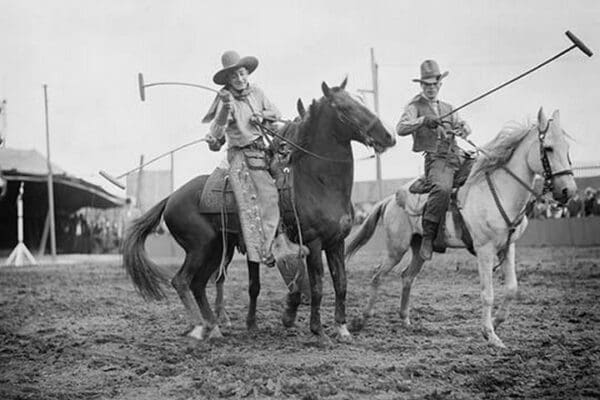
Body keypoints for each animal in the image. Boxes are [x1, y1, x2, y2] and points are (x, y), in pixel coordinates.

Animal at [122, 78, 396, 340]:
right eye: (345, 108)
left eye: (361, 101)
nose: (388, 136)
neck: (317, 183)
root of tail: (171, 197)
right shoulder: (313, 242)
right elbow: (317, 286)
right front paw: (318, 331)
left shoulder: (336, 242)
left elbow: (341, 284)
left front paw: (341, 328)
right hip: (200, 247)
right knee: (182, 281)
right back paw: (200, 326)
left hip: (217, 248)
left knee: (199, 284)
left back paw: (214, 327)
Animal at [346, 108, 576, 346]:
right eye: (548, 147)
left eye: (567, 148)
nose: (568, 190)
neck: (500, 190)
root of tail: (391, 199)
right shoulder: (485, 250)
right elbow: (487, 293)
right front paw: (490, 334)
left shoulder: (507, 247)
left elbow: (512, 288)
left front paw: (496, 322)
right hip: (396, 249)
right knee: (377, 276)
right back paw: (361, 320)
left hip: (419, 248)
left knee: (407, 277)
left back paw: (406, 320)